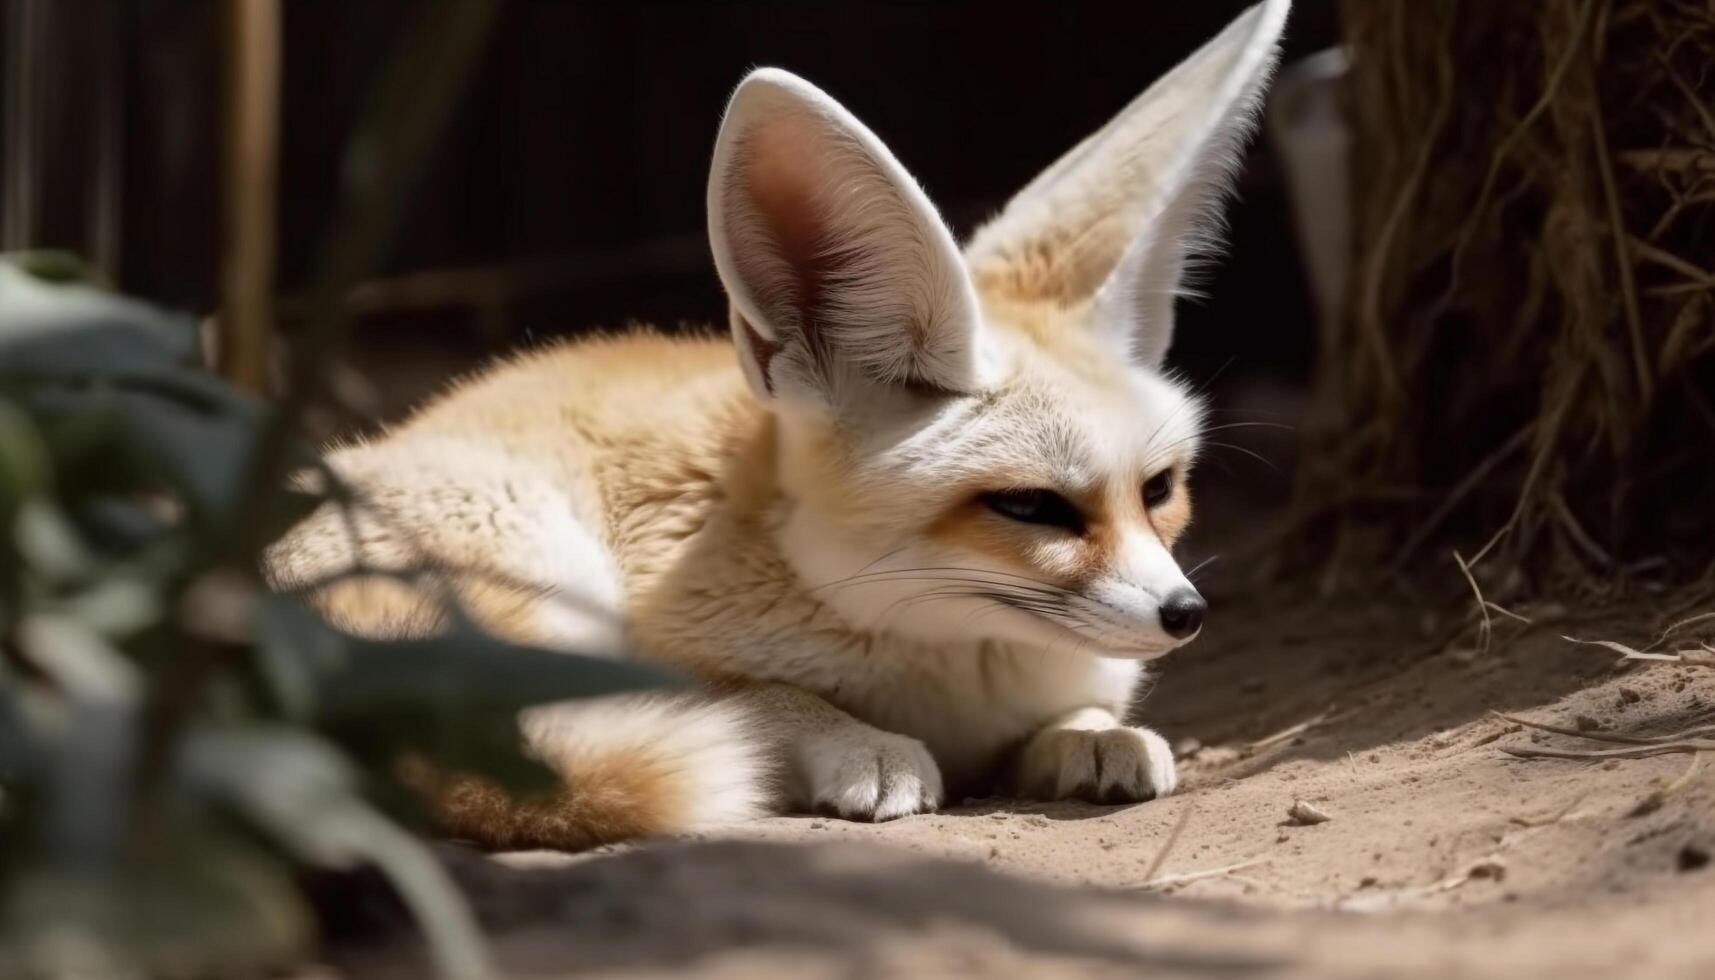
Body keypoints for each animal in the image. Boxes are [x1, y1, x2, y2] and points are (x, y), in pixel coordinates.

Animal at [264, 0, 1289, 847]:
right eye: (1031, 507)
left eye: (1157, 489)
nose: (1184, 614)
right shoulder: (658, 654)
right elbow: (765, 699)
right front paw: (858, 743)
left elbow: (1078, 713)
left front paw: (1096, 735)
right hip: (537, 560)